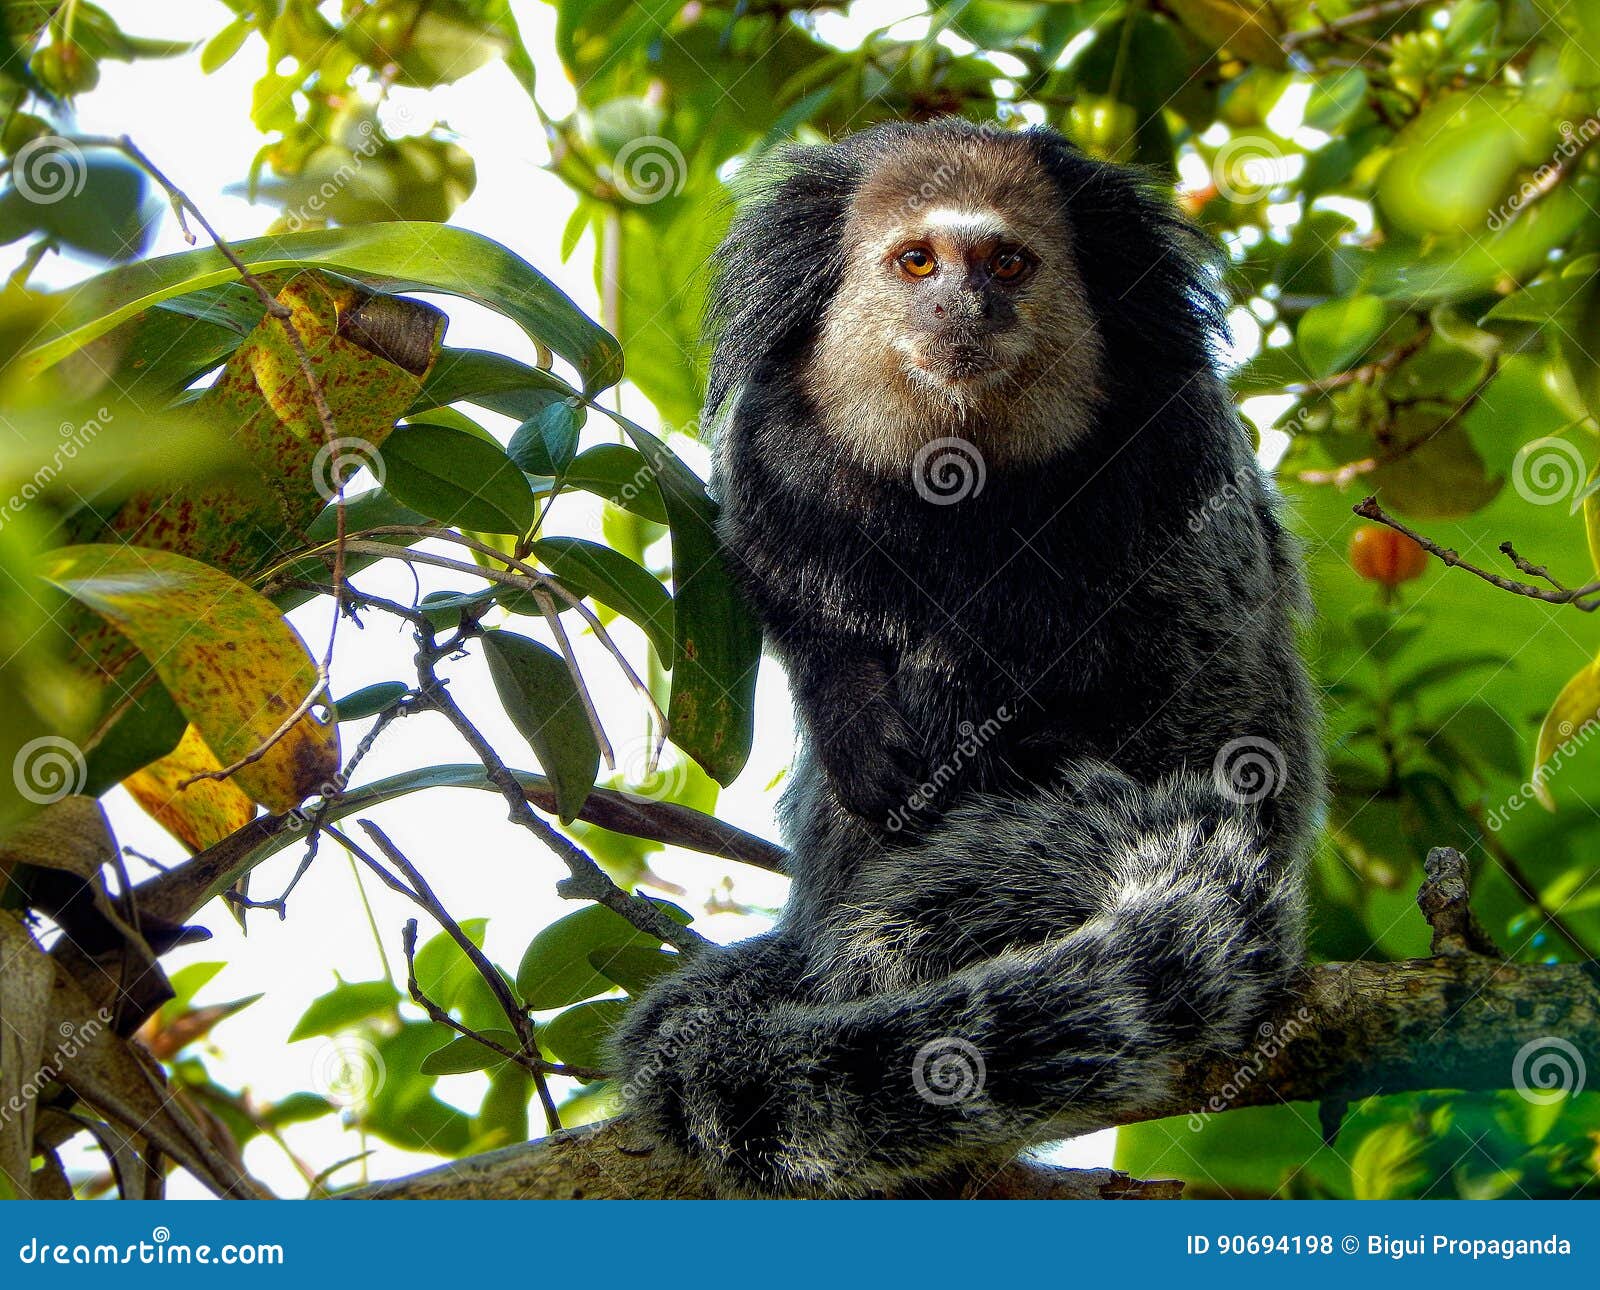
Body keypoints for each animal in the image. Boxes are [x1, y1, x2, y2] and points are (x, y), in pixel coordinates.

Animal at [604, 121, 1318, 1203]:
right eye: (915, 262)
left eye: (1008, 264)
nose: (962, 307)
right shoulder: (774, 453)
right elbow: (801, 612)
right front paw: (862, 718)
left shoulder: (1174, 460)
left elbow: (1175, 649)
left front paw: (986, 723)